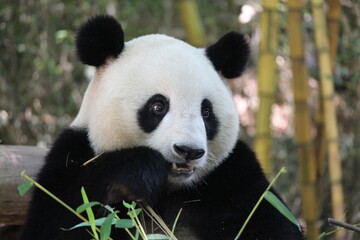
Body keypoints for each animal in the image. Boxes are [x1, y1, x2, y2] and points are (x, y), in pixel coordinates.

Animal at [19, 15, 304, 240]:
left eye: (206, 112)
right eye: (158, 106)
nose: (189, 151)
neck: (170, 188)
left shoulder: (232, 176)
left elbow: (272, 224)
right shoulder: (72, 157)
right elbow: (63, 220)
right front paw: (139, 171)